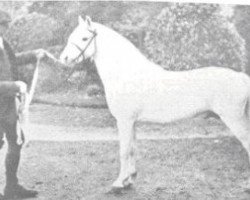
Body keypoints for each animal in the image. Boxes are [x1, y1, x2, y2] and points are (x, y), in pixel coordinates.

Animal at [60, 16, 250, 191]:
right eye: (72, 36)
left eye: (84, 38)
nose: (64, 59)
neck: (126, 74)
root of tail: (242, 77)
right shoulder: (132, 122)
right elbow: (132, 149)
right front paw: (129, 179)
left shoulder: (124, 120)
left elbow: (124, 151)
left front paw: (118, 183)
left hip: (233, 119)